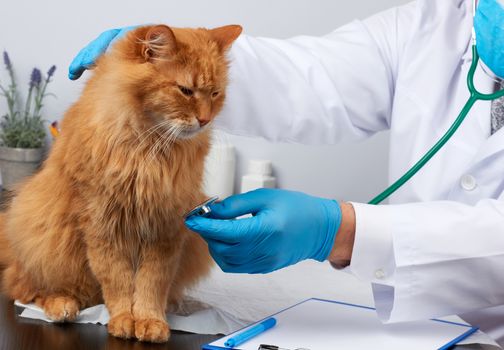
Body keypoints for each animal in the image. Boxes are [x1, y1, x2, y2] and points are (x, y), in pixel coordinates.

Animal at [0, 23, 242, 342]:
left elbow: (152, 283)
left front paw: (151, 321)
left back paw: (174, 304)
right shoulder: (103, 223)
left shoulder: (165, 226)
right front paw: (125, 320)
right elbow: (117, 280)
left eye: (215, 93)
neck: (149, 149)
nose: (204, 120)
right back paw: (62, 306)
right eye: (186, 90)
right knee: (25, 288)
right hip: (41, 234)